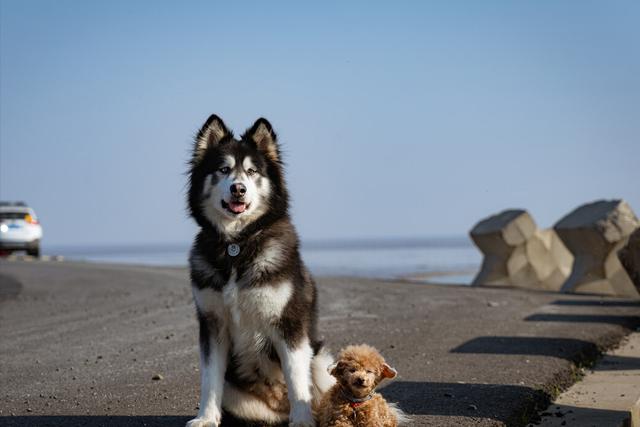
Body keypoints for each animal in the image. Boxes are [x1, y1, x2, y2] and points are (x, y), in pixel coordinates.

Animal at [186, 115, 336, 426]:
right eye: (223, 169)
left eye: (252, 171)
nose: (238, 189)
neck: (237, 245)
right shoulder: (212, 324)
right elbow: (209, 379)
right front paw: (206, 418)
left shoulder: (289, 324)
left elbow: (297, 380)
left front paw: (302, 420)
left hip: (321, 360)